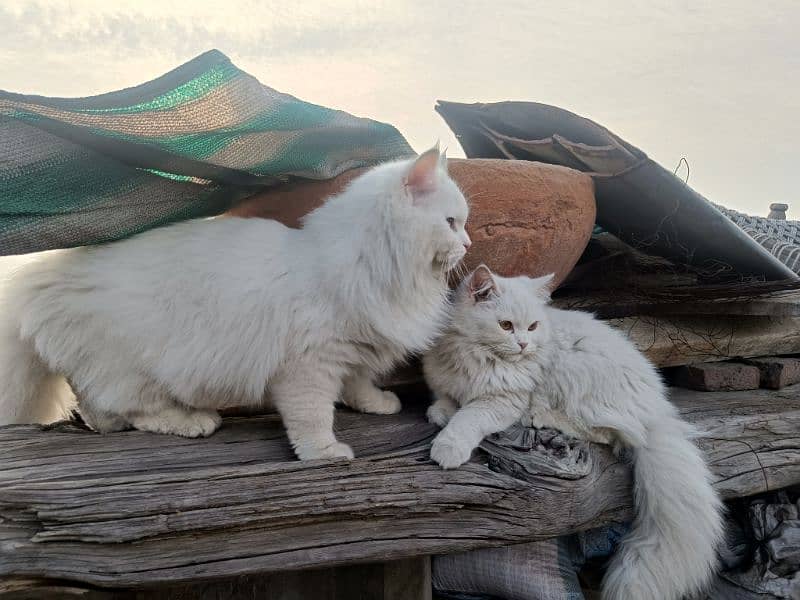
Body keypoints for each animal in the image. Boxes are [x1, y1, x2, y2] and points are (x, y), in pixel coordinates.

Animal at [0, 145, 468, 460]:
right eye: (451, 222)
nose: (467, 243)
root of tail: (41, 275)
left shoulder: (352, 352)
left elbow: (359, 384)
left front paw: (377, 404)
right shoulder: (308, 365)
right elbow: (314, 416)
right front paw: (325, 452)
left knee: (96, 409)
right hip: (131, 368)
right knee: (131, 408)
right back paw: (193, 421)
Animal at [424, 264, 724, 600]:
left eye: (532, 327)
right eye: (505, 325)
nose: (524, 345)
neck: (475, 356)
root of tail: (657, 409)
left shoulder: (502, 401)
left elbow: (469, 418)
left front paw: (448, 447)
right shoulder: (444, 379)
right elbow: (446, 400)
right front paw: (440, 412)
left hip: (574, 373)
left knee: (606, 432)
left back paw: (539, 417)